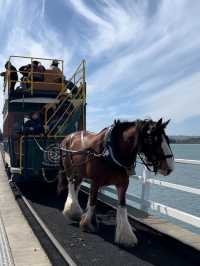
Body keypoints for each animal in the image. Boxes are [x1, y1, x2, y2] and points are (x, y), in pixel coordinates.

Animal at [56, 118, 173, 247]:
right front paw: (87, 224)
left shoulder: (123, 185)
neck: (110, 152)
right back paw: (72, 211)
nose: (170, 168)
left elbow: (122, 206)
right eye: (154, 140)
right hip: (69, 169)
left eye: (167, 139)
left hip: (80, 172)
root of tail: (67, 137)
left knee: (76, 186)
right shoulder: (95, 181)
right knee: (71, 186)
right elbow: (93, 202)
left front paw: (126, 235)